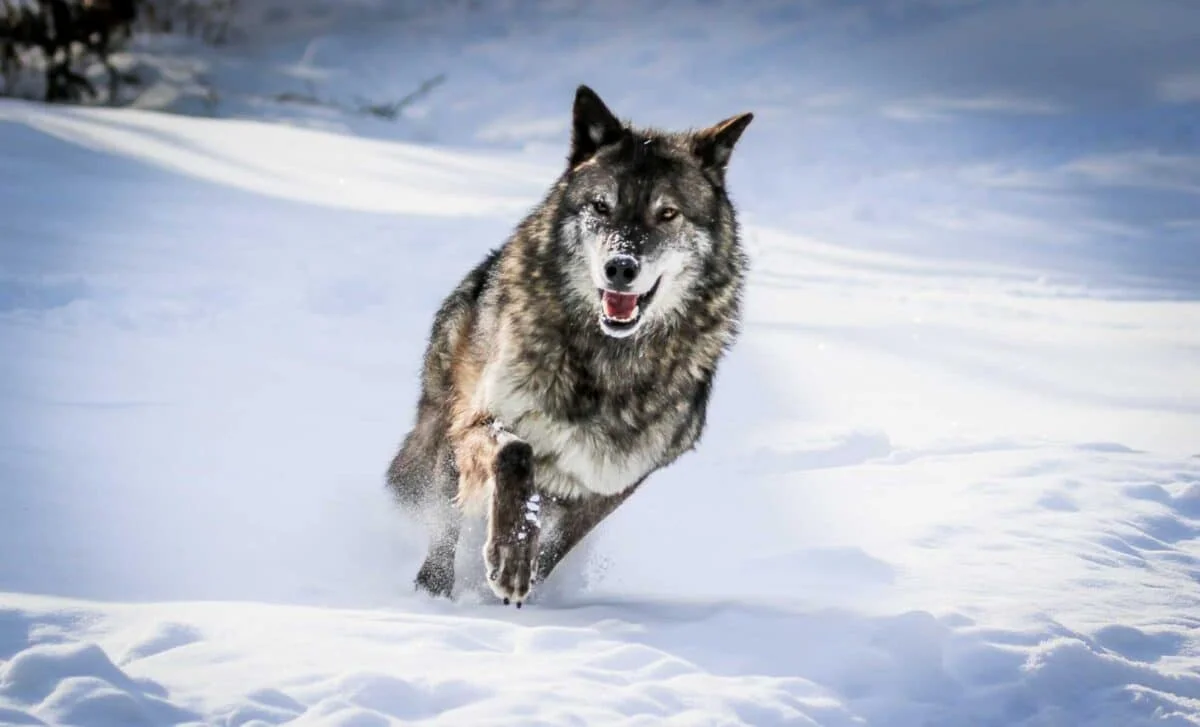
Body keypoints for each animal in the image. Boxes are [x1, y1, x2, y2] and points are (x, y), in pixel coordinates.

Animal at [386, 85, 753, 606]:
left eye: (667, 214)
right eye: (601, 207)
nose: (620, 267)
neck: (606, 365)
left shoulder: (613, 480)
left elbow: (559, 544)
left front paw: (522, 576)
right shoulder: (478, 422)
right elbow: (515, 453)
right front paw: (510, 557)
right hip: (446, 432)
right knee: (445, 522)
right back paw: (431, 594)